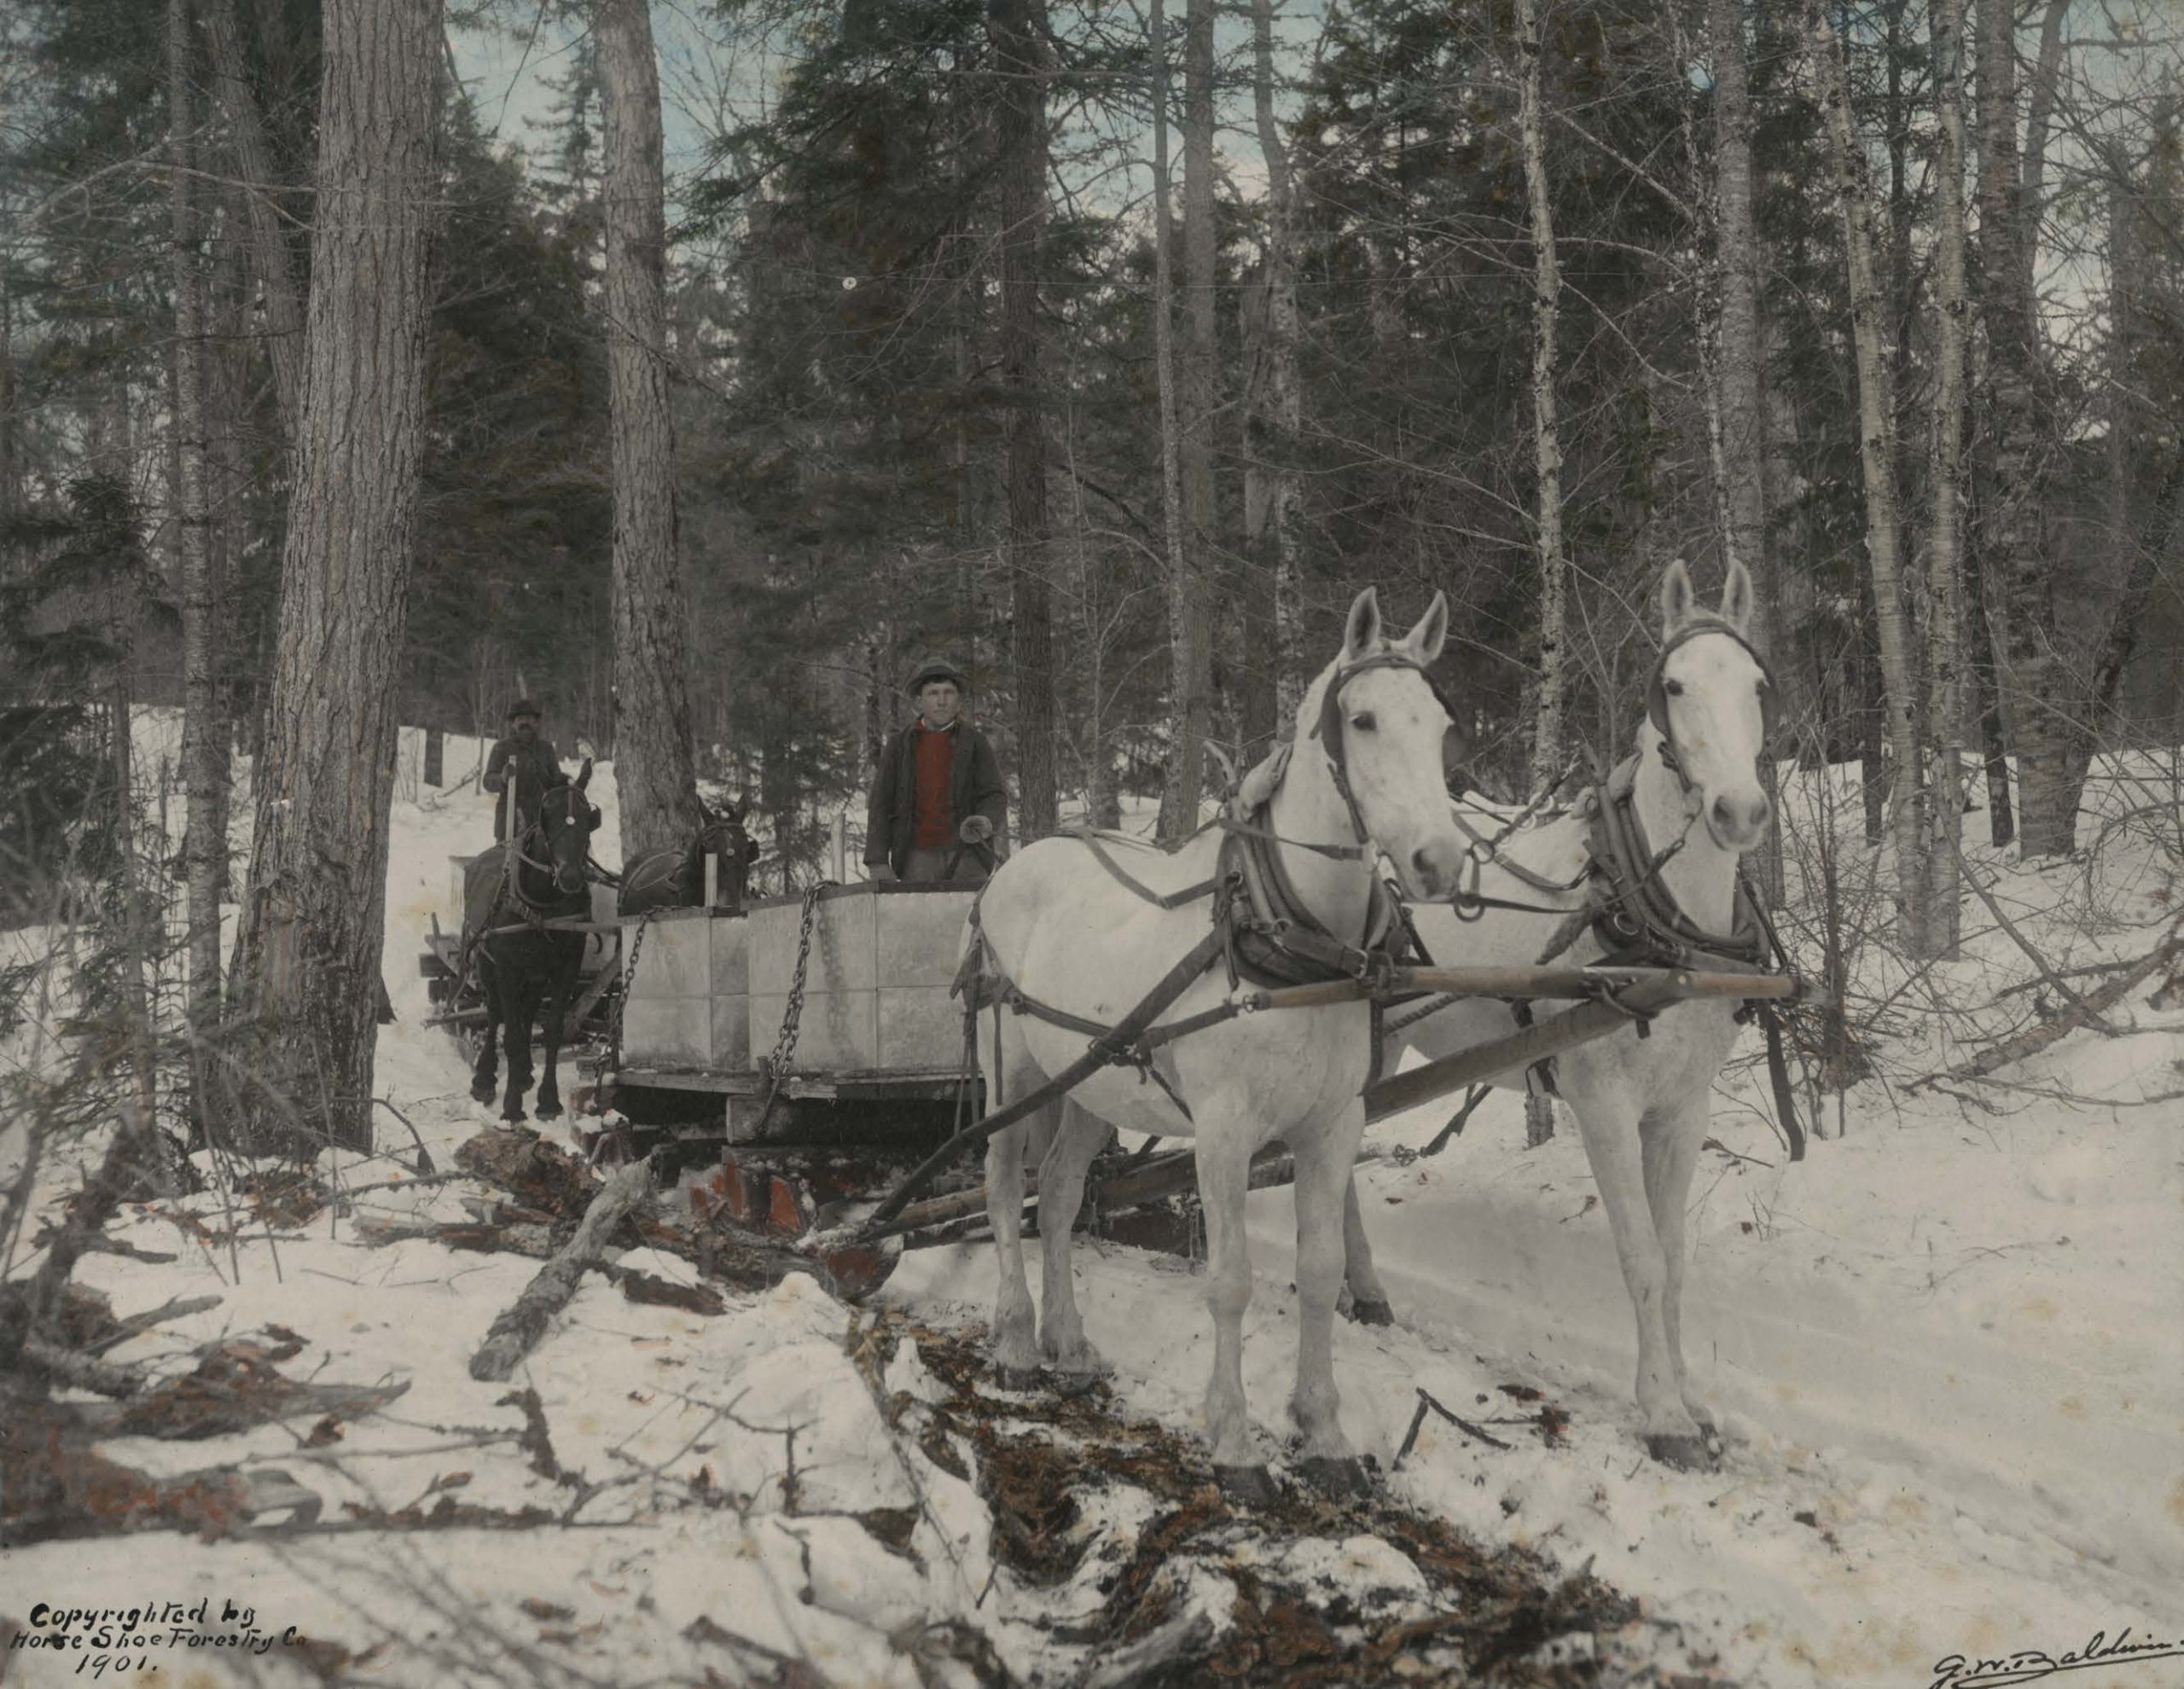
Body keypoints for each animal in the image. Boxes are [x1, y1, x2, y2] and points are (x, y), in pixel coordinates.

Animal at [461, 764, 598, 1118]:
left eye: (588, 815)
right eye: (547, 812)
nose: (571, 876)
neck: (544, 903)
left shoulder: (566, 967)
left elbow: (552, 1031)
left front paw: (548, 1099)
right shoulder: (507, 967)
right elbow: (508, 1032)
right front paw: (511, 1106)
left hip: (535, 974)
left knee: (526, 1011)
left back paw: (523, 1072)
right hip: (485, 960)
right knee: (496, 1012)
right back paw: (485, 1078)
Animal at [973, 585, 1467, 1495]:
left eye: (1441, 726)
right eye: (1365, 719)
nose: (1440, 860)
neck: (1292, 938)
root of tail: (1012, 864)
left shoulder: (1331, 1126)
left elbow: (1319, 1274)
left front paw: (1324, 1433)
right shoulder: (1225, 1131)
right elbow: (1231, 1281)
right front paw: (1235, 1442)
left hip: (1092, 1079)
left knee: (1056, 1196)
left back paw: (1069, 1341)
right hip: (1014, 1071)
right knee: (999, 1189)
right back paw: (1019, 1340)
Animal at [1336, 559, 1781, 1468]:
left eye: (1756, 684)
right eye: (1674, 685)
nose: (1740, 812)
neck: (1654, 915)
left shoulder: (1682, 1108)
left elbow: (1673, 1260)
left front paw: (1690, 1400)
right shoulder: (1603, 1102)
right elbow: (1641, 1256)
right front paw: (1665, 1415)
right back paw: (1358, 1288)